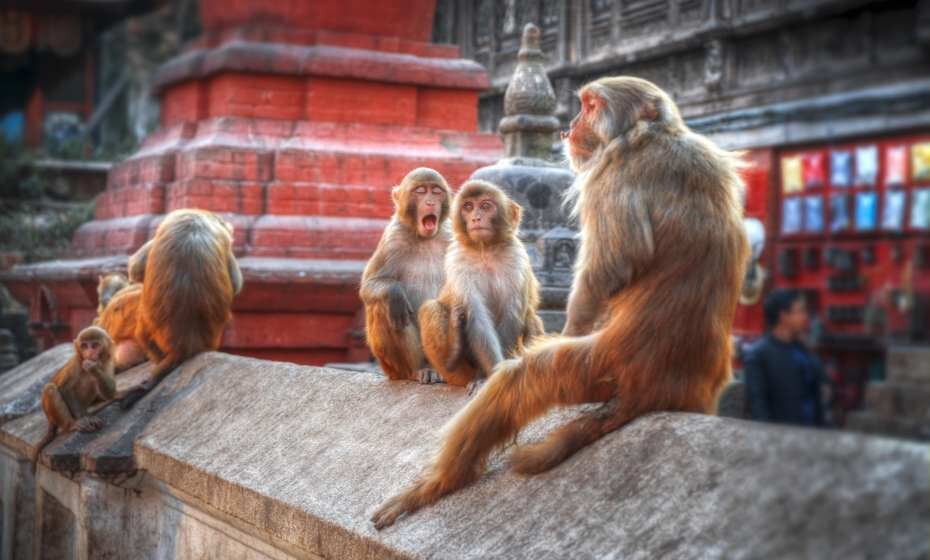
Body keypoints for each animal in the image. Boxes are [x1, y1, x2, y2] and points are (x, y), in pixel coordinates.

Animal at [33, 324, 116, 472]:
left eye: (94, 345)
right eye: (84, 346)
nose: (89, 353)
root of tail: (50, 420)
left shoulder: (107, 362)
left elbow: (110, 393)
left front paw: (93, 368)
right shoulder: (76, 363)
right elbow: (65, 389)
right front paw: (82, 419)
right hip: (54, 416)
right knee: (51, 389)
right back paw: (72, 423)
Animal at [358, 166, 454, 384]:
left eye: (436, 191)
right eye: (421, 191)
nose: (430, 202)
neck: (425, 238)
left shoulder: (451, 237)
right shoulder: (393, 239)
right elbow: (369, 286)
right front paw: (394, 292)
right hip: (390, 365)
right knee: (384, 306)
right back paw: (416, 371)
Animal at [416, 179, 540, 394]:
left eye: (485, 206)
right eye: (468, 207)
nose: (476, 218)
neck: (485, 250)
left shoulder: (516, 259)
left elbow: (511, 315)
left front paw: (496, 377)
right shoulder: (458, 261)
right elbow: (477, 317)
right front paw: (488, 377)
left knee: (531, 317)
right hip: (458, 374)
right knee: (431, 308)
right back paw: (453, 353)